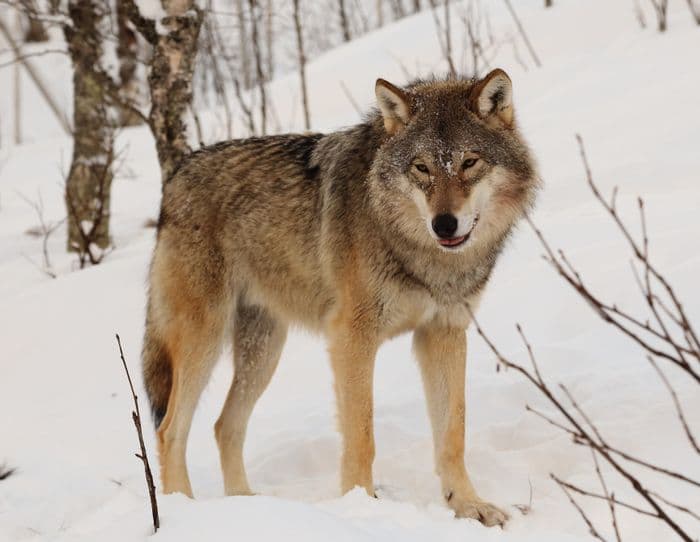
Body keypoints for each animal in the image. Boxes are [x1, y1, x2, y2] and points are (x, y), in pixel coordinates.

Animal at [142, 68, 539, 527]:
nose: (444, 224)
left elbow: (453, 433)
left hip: (263, 352)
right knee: (170, 429)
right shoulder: (352, 337)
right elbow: (362, 435)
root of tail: (176, 176)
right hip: (204, 341)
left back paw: (248, 506)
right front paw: (361, 506)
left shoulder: (443, 333)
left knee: (225, 426)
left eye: (469, 162)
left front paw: (468, 506)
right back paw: (183, 511)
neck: (421, 254)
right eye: (421, 168)